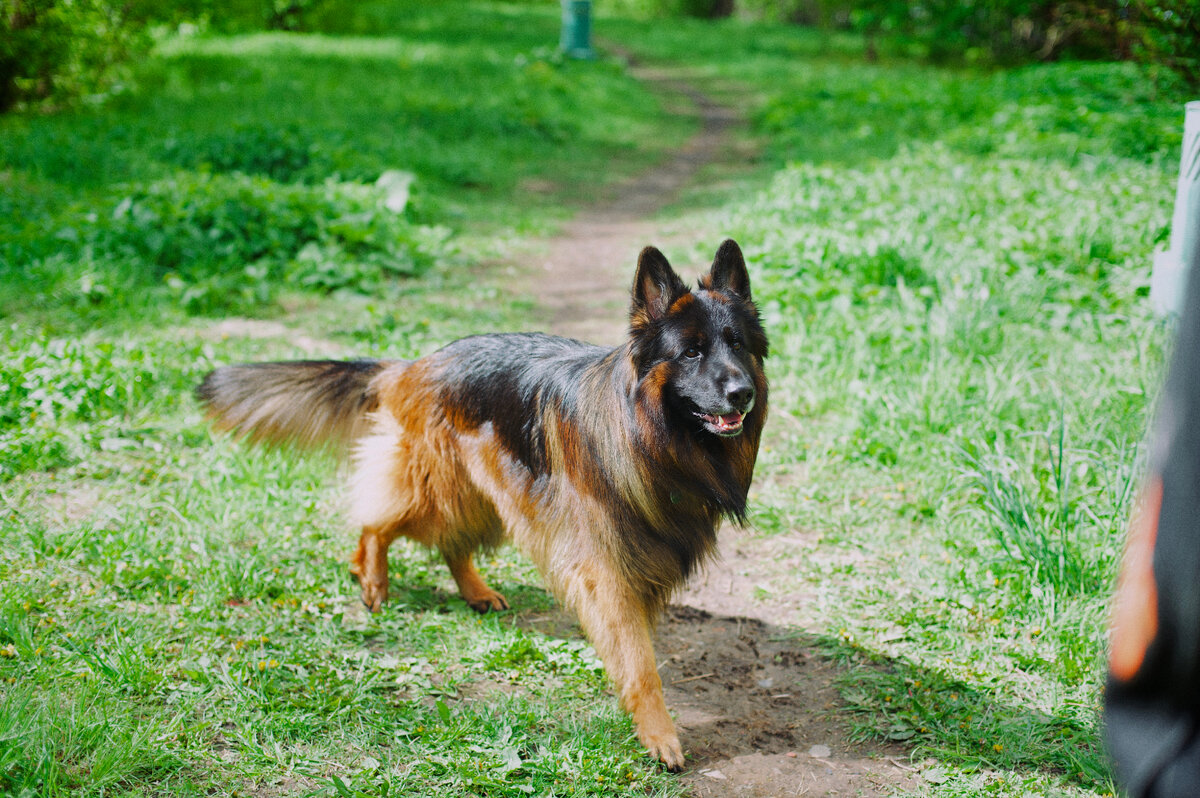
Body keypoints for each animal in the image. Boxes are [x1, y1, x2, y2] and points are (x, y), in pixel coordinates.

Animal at [192, 236, 763, 768]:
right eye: (691, 352)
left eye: (737, 345)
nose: (742, 393)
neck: (650, 436)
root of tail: (414, 364)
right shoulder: (605, 570)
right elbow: (641, 667)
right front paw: (660, 735)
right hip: (439, 489)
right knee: (379, 521)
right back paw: (372, 579)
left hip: (486, 495)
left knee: (448, 543)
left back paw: (468, 590)